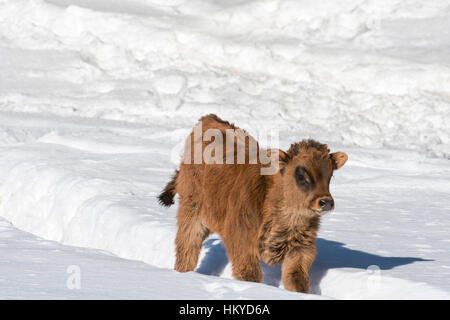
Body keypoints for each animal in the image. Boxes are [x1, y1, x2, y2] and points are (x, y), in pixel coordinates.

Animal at [158, 114, 348, 292]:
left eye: (330, 174)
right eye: (301, 175)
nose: (325, 202)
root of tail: (208, 119)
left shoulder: (300, 249)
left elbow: (297, 279)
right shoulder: (243, 244)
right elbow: (251, 275)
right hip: (191, 214)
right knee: (187, 248)